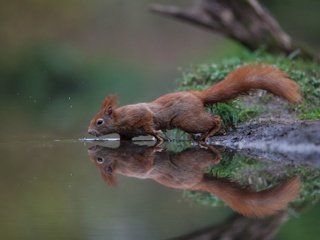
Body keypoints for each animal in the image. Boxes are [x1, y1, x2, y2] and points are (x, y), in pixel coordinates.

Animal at [87, 64, 300, 142]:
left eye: (99, 122)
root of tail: (196, 96)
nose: (89, 133)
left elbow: (148, 123)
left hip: (188, 120)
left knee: (215, 119)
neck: (120, 118)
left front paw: (158, 135)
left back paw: (210, 133)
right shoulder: (126, 134)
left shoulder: (140, 115)